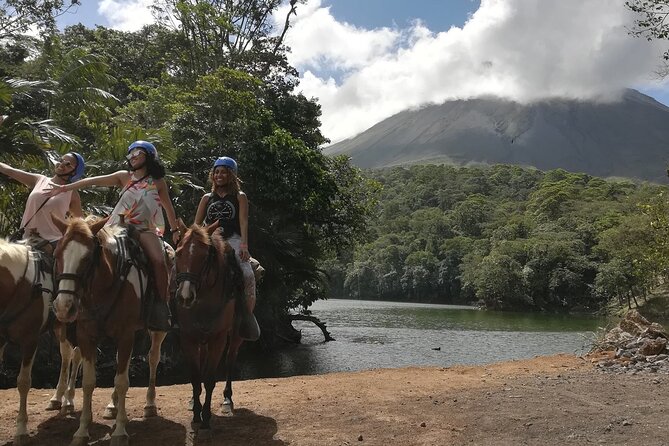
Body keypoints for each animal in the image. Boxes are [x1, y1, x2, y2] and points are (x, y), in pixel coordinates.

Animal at [0, 235, 81, 444]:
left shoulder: (30, 341)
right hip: (60, 326)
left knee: (76, 356)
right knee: (66, 355)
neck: (21, 284)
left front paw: (21, 430)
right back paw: (57, 398)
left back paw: (69, 399)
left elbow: (23, 382)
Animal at [51, 216, 167, 446]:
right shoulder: (86, 336)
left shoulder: (125, 335)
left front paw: (120, 431)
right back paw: (112, 406)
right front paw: (81, 431)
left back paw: (149, 404)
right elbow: (88, 382)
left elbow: (122, 382)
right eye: (57, 254)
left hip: (156, 331)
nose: (63, 306)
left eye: (87, 258)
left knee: (153, 358)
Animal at [174, 226, 244, 440]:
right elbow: (196, 378)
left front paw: (205, 419)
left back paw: (227, 401)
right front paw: (196, 414)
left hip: (235, 336)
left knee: (230, 361)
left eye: (204, 257)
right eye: (178, 253)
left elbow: (210, 379)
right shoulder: (188, 338)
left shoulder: (218, 339)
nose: (185, 295)